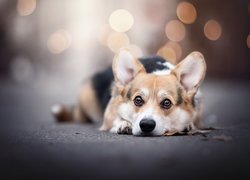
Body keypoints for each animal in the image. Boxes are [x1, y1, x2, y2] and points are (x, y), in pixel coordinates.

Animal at [51, 48, 206, 136]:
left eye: (166, 103)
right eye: (138, 100)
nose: (146, 125)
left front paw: (188, 125)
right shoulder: (109, 114)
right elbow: (116, 118)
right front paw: (123, 124)